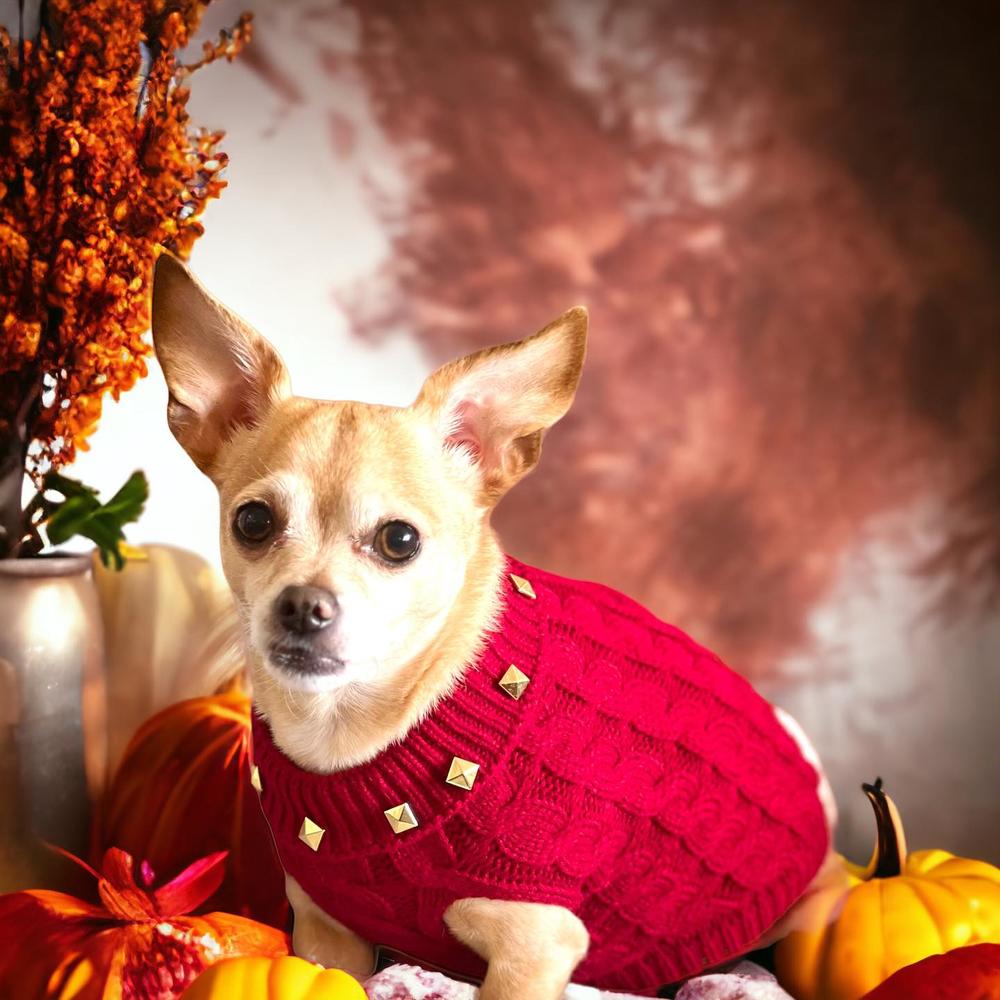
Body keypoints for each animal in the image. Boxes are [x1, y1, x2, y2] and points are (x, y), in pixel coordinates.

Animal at [150, 256, 836, 1000]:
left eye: (398, 540)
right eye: (252, 522)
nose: (303, 605)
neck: (353, 734)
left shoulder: (534, 950)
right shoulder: (329, 938)